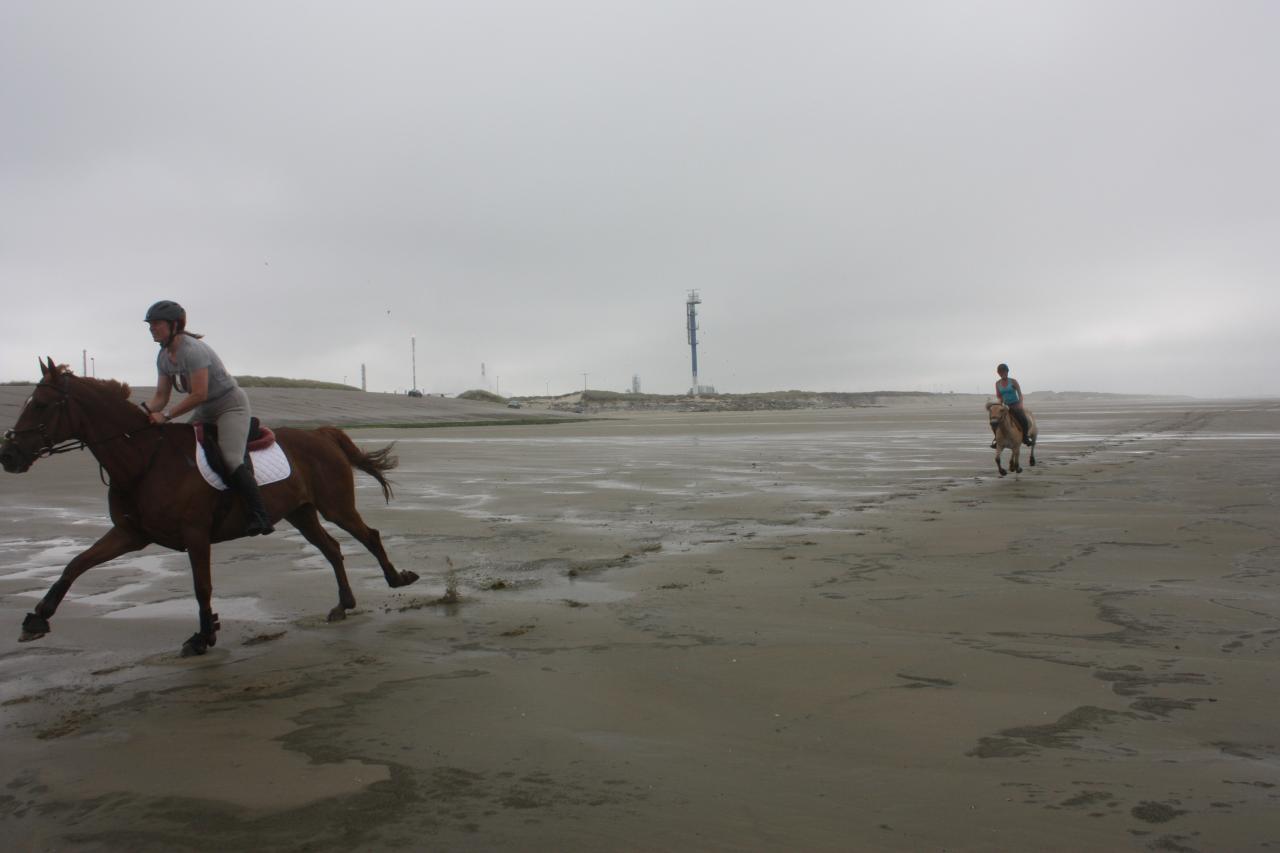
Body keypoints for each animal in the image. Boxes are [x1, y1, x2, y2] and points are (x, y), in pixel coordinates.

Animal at [0, 356, 419, 653]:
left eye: (40, 405)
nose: (8, 455)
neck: (143, 459)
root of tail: (321, 435)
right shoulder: (130, 533)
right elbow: (76, 564)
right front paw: (36, 619)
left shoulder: (195, 534)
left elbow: (202, 586)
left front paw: (203, 637)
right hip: (301, 512)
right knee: (331, 548)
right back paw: (344, 604)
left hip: (335, 506)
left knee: (368, 535)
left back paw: (397, 579)